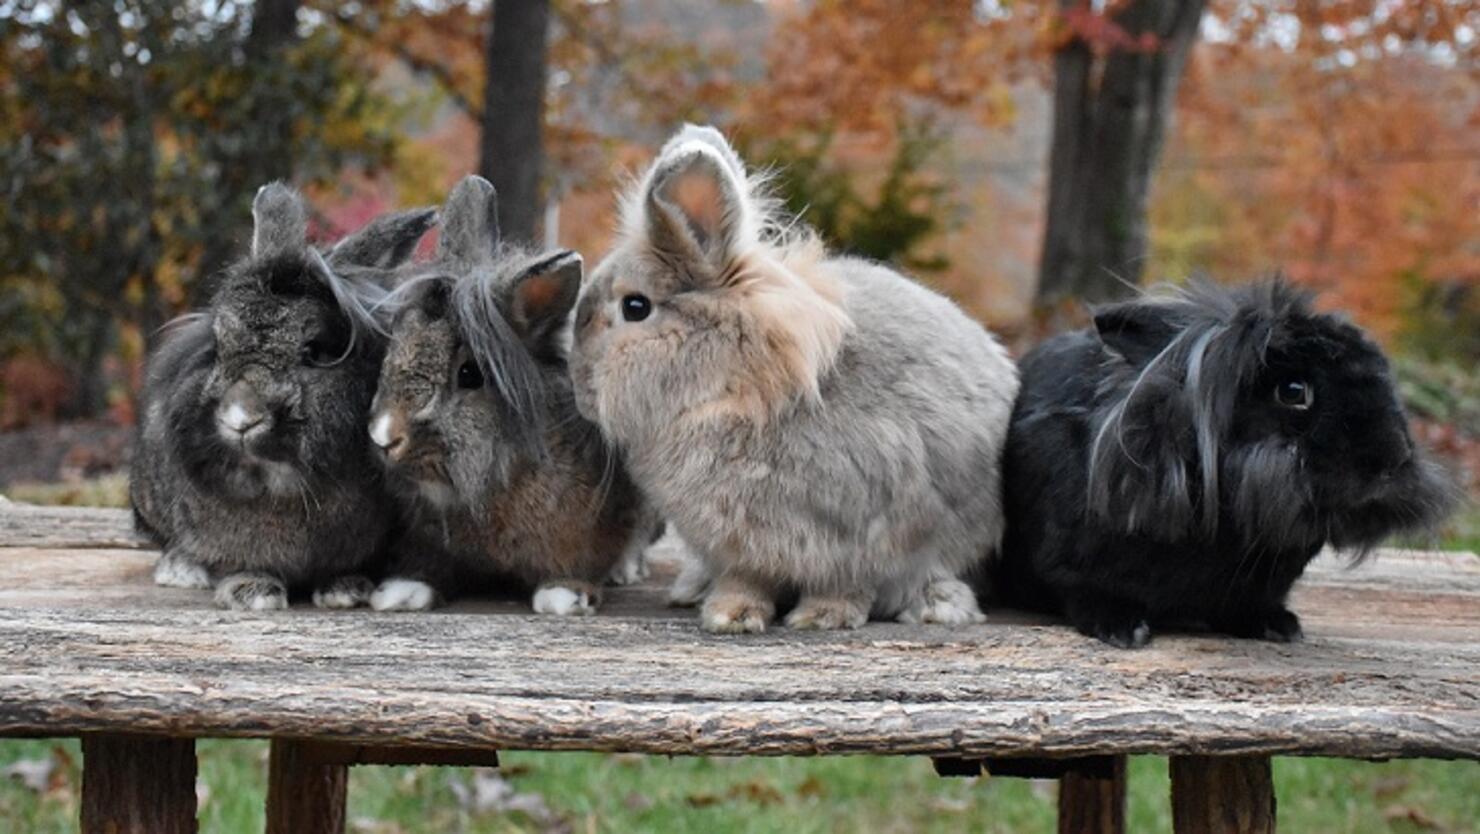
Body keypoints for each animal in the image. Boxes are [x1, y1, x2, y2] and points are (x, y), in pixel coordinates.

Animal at [129, 182, 432, 609]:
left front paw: (346, 590)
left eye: (316, 351)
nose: (240, 417)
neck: (277, 483)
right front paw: (253, 592)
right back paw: (180, 569)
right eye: (218, 346)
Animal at [365, 175, 654, 615]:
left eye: (469, 374)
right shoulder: (425, 541)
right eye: (393, 347)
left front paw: (563, 597)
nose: (384, 436)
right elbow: (424, 565)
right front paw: (397, 593)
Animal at [565, 123, 1018, 632]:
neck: (738, 390)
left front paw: (821, 617)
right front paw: (731, 614)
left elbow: (846, 584)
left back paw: (937, 605)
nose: (580, 390)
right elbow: (747, 579)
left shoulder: (861, 538)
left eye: (635, 307)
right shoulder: (738, 545)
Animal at [994, 276, 1456, 647]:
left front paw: (1280, 627)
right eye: (1293, 391)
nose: (1391, 459)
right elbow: (1085, 591)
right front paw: (1124, 630)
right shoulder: (1071, 566)